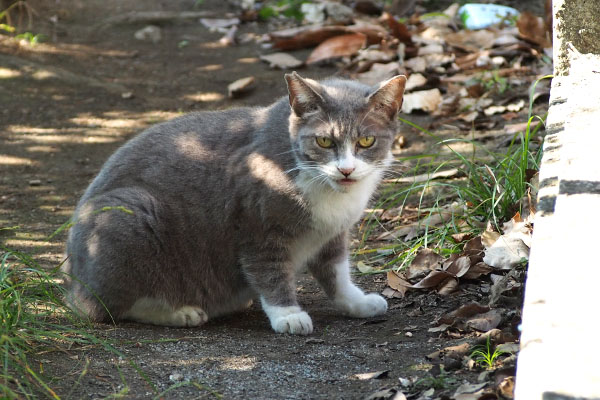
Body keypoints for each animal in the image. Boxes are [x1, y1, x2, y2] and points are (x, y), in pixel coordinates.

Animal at [62, 71, 408, 334]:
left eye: (366, 141)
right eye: (324, 141)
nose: (346, 170)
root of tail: (74, 280)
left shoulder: (332, 233)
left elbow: (336, 273)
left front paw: (357, 302)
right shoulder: (256, 226)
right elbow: (269, 272)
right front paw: (288, 315)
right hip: (125, 215)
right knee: (108, 306)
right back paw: (181, 312)